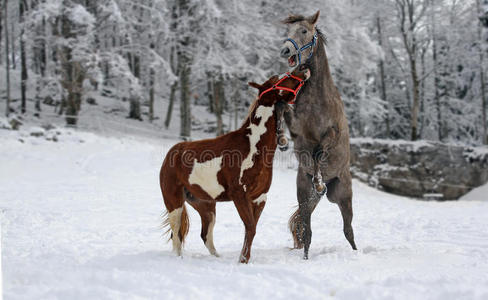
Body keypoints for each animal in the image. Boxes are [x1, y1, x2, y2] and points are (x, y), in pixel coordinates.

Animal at [161, 67, 312, 262]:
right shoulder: (239, 195)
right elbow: (250, 227)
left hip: (205, 205)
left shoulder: (259, 198)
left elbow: (250, 230)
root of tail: (172, 152)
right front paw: (242, 260)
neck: (252, 146)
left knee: (205, 235)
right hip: (174, 202)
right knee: (176, 235)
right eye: (280, 79)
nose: (304, 68)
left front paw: (244, 259)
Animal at [276, 10, 356, 258]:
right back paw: (305, 258)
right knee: (307, 231)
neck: (317, 98)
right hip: (303, 195)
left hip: (344, 197)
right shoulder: (298, 130)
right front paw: (281, 140)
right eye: (288, 30)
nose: (285, 51)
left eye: (304, 31)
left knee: (348, 230)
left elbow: (320, 151)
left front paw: (319, 181)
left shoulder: (332, 133)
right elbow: (281, 106)